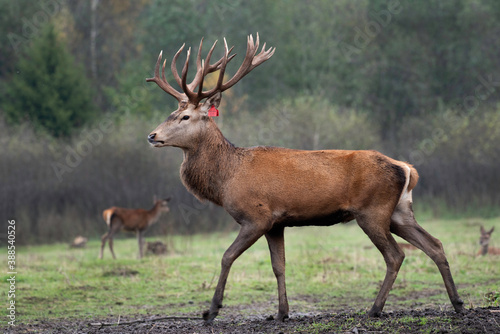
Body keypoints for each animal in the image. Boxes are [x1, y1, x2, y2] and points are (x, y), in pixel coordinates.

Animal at [146, 34, 464, 324]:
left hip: (373, 211)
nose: (152, 135)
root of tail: (406, 169)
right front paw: (281, 313)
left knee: (396, 255)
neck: (226, 179)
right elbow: (279, 266)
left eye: (185, 117)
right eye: (172, 112)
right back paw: (457, 303)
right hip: (399, 212)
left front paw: (211, 310)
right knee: (435, 244)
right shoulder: (276, 223)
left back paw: (375, 309)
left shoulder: (257, 216)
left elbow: (227, 256)